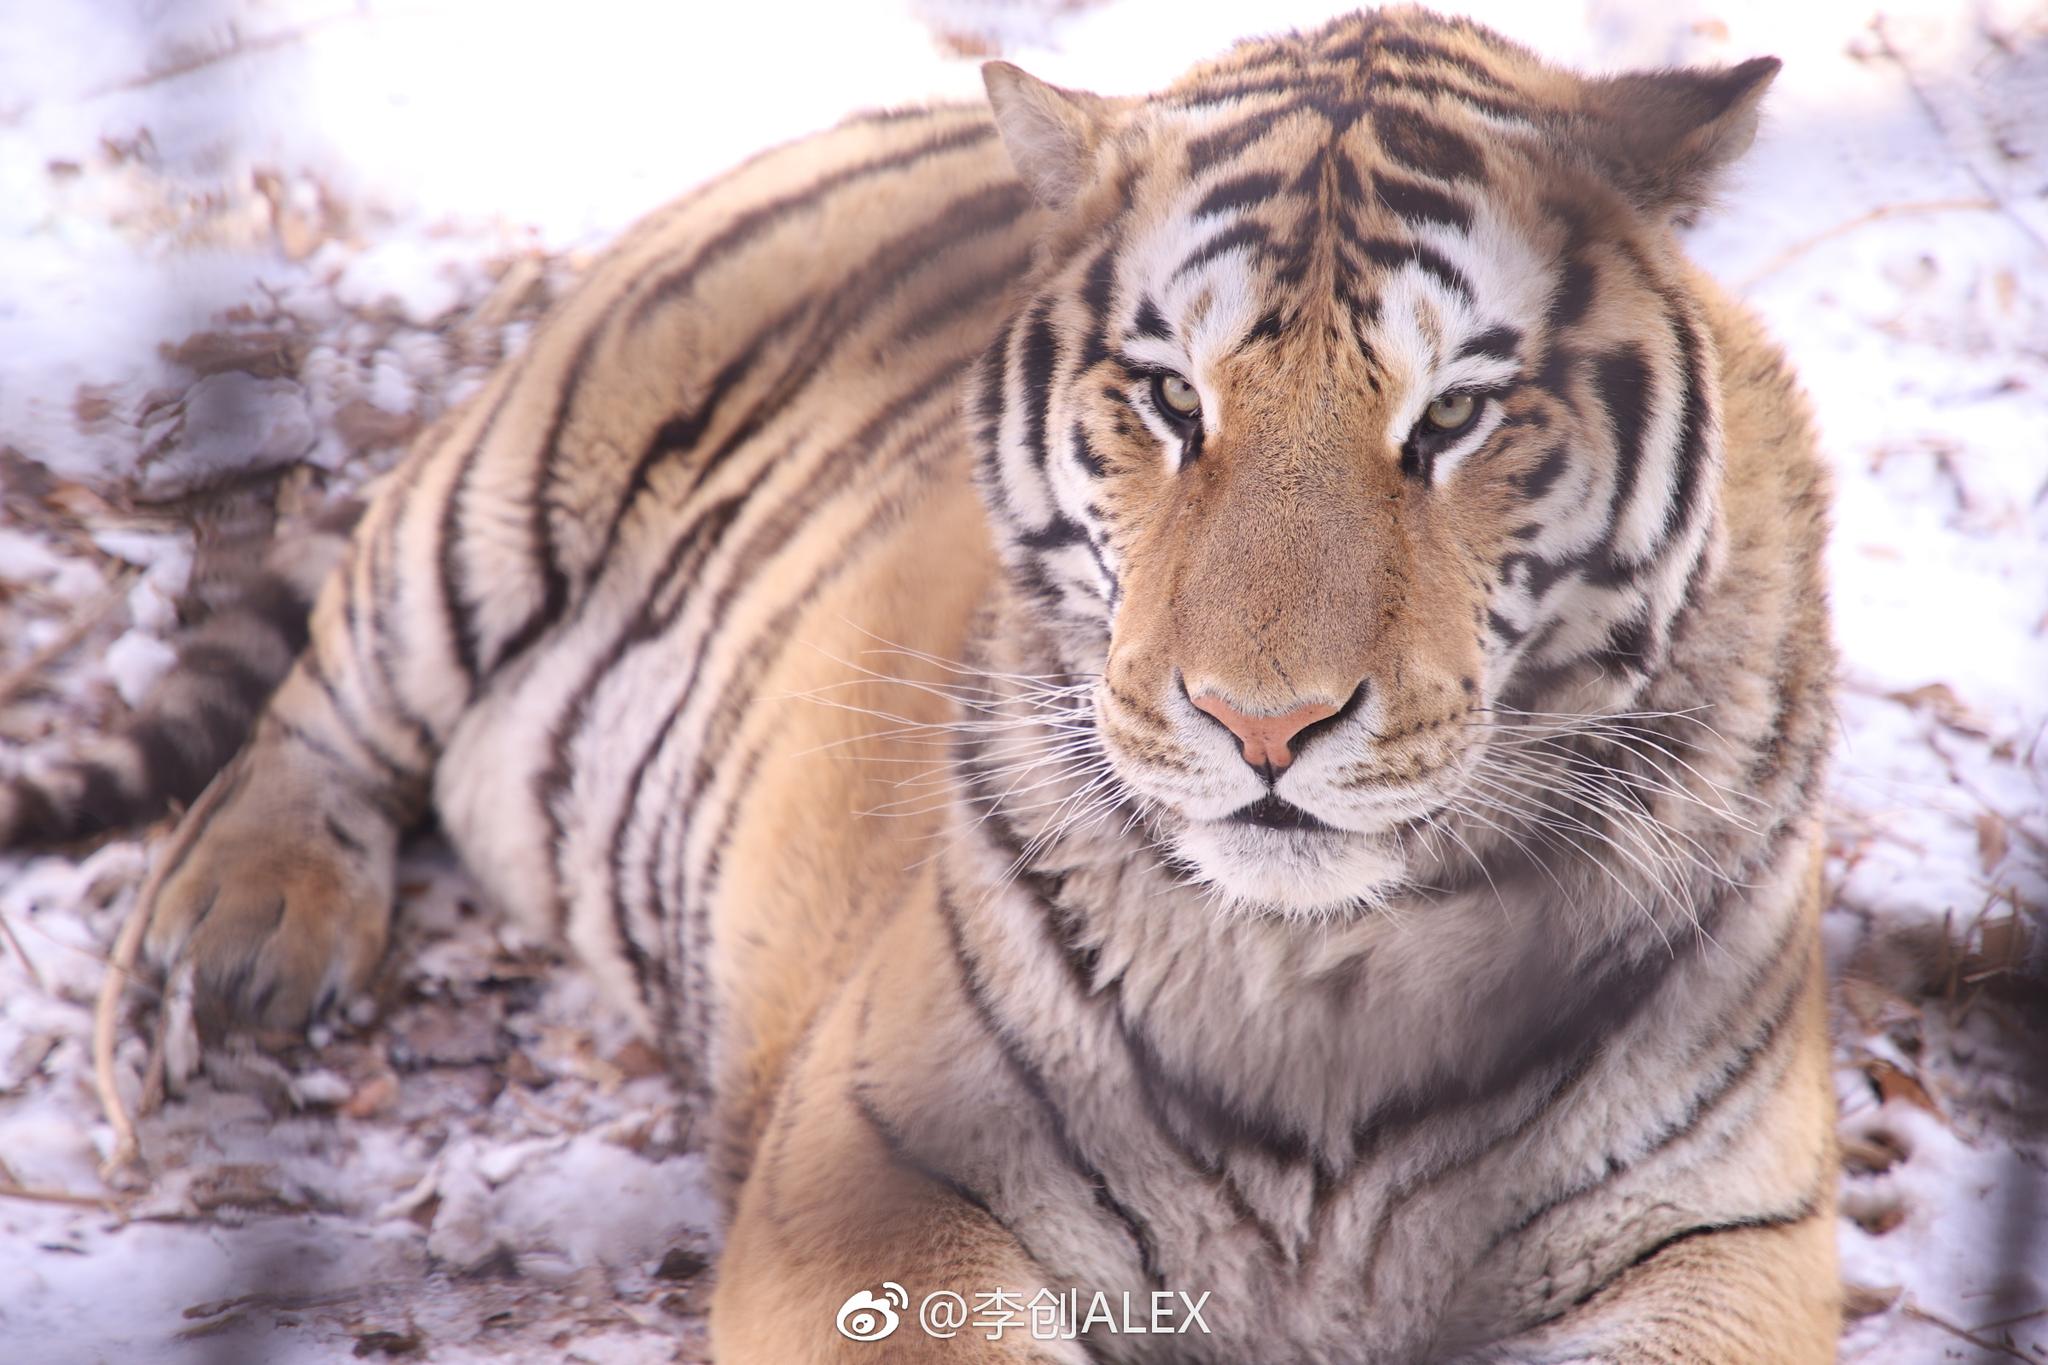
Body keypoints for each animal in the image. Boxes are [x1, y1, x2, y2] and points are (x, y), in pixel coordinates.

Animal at [8, 5, 1851, 1358]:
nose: (1260, 724)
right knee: (323, 701)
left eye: (1455, 415)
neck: (1331, 981)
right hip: (505, 491)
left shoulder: (1724, 1232)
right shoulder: (876, 1174)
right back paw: (237, 939)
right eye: (1170, 401)